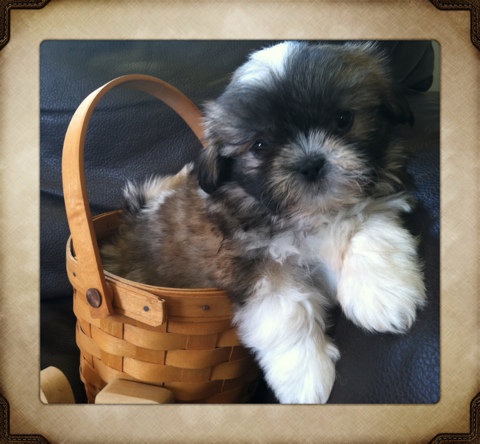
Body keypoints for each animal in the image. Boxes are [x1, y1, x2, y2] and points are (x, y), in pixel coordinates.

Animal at [101, 41, 427, 404]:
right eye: (260, 145)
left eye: (343, 120)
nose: (310, 163)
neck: (311, 215)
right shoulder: (258, 268)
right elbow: (289, 312)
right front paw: (306, 377)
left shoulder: (378, 199)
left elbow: (373, 231)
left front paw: (383, 299)